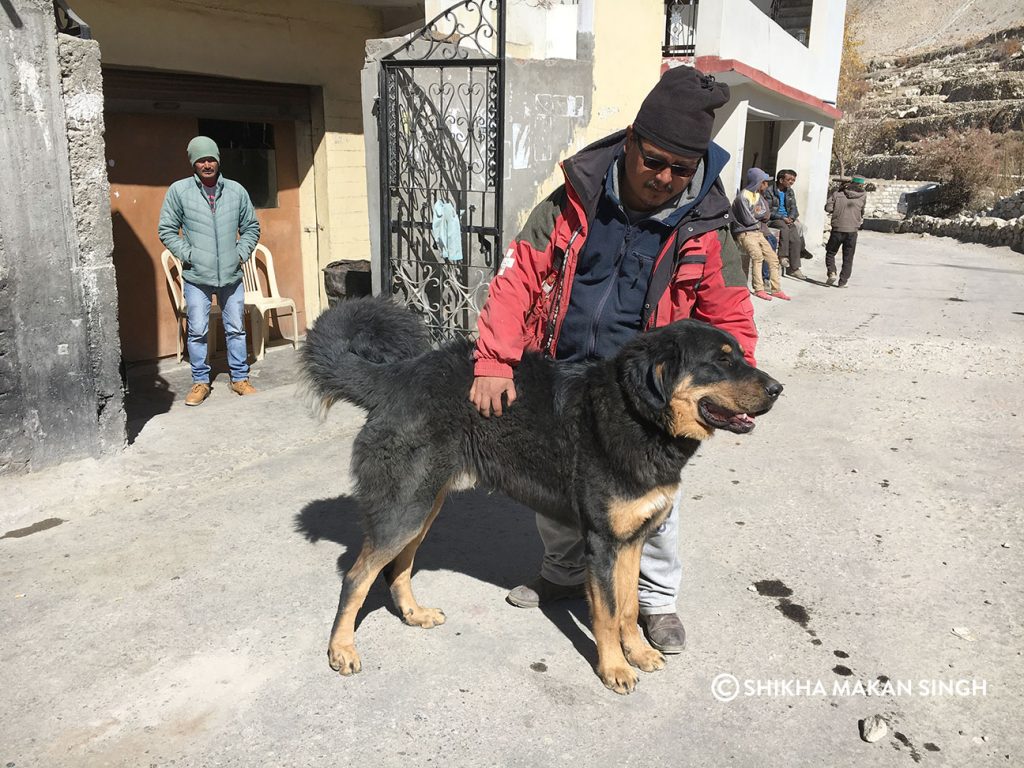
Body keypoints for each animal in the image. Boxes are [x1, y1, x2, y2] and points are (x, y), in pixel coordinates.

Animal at [299, 296, 778, 696]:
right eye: (720, 362)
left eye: (740, 355)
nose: (778, 389)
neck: (639, 415)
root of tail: (398, 375)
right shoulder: (603, 542)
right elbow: (607, 614)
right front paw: (614, 668)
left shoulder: (633, 539)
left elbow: (626, 608)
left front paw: (638, 653)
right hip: (407, 507)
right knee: (357, 577)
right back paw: (341, 649)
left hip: (423, 505)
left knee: (397, 568)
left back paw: (413, 614)